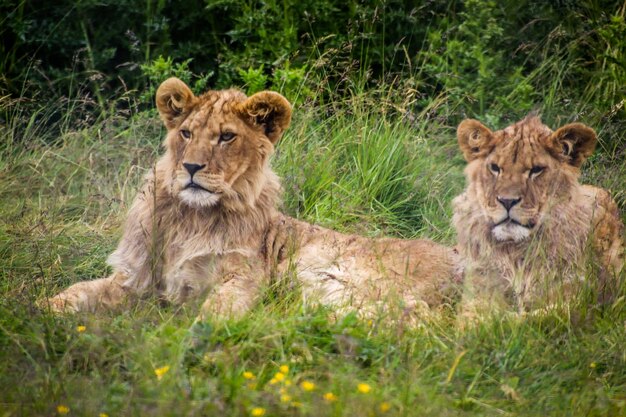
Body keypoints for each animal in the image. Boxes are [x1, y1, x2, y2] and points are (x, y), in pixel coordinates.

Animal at [46, 77, 458, 318]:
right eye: (186, 132)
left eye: (226, 137)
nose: (191, 167)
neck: (192, 216)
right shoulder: (135, 280)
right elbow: (79, 291)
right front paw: (40, 311)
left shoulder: (243, 276)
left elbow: (217, 311)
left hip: (321, 270)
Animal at [450, 114, 620, 316]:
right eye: (495, 168)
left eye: (536, 170)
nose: (507, 201)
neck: (515, 253)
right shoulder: (476, 293)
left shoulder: (579, 297)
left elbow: (534, 317)